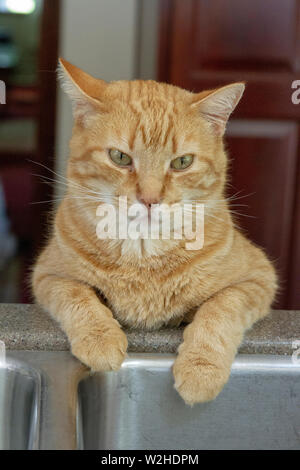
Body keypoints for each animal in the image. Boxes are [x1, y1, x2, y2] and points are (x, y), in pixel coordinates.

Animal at [32, 58, 276, 404]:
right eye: (120, 157)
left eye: (182, 162)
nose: (150, 199)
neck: (142, 255)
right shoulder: (48, 274)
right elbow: (76, 295)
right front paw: (100, 339)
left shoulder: (258, 279)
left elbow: (221, 310)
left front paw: (201, 369)